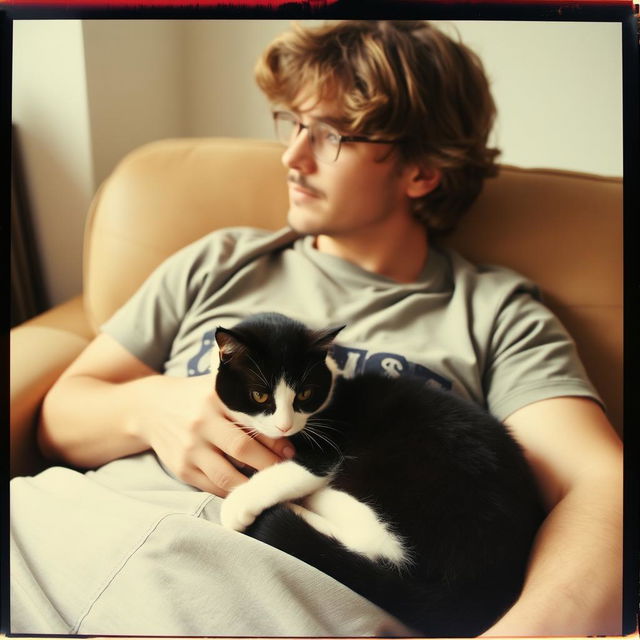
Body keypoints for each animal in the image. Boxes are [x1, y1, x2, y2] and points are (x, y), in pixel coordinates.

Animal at [212, 312, 544, 636]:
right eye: (259, 396)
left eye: (305, 394)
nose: (284, 426)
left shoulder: (325, 448)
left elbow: (299, 470)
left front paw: (236, 506)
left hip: (411, 474)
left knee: (382, 545)